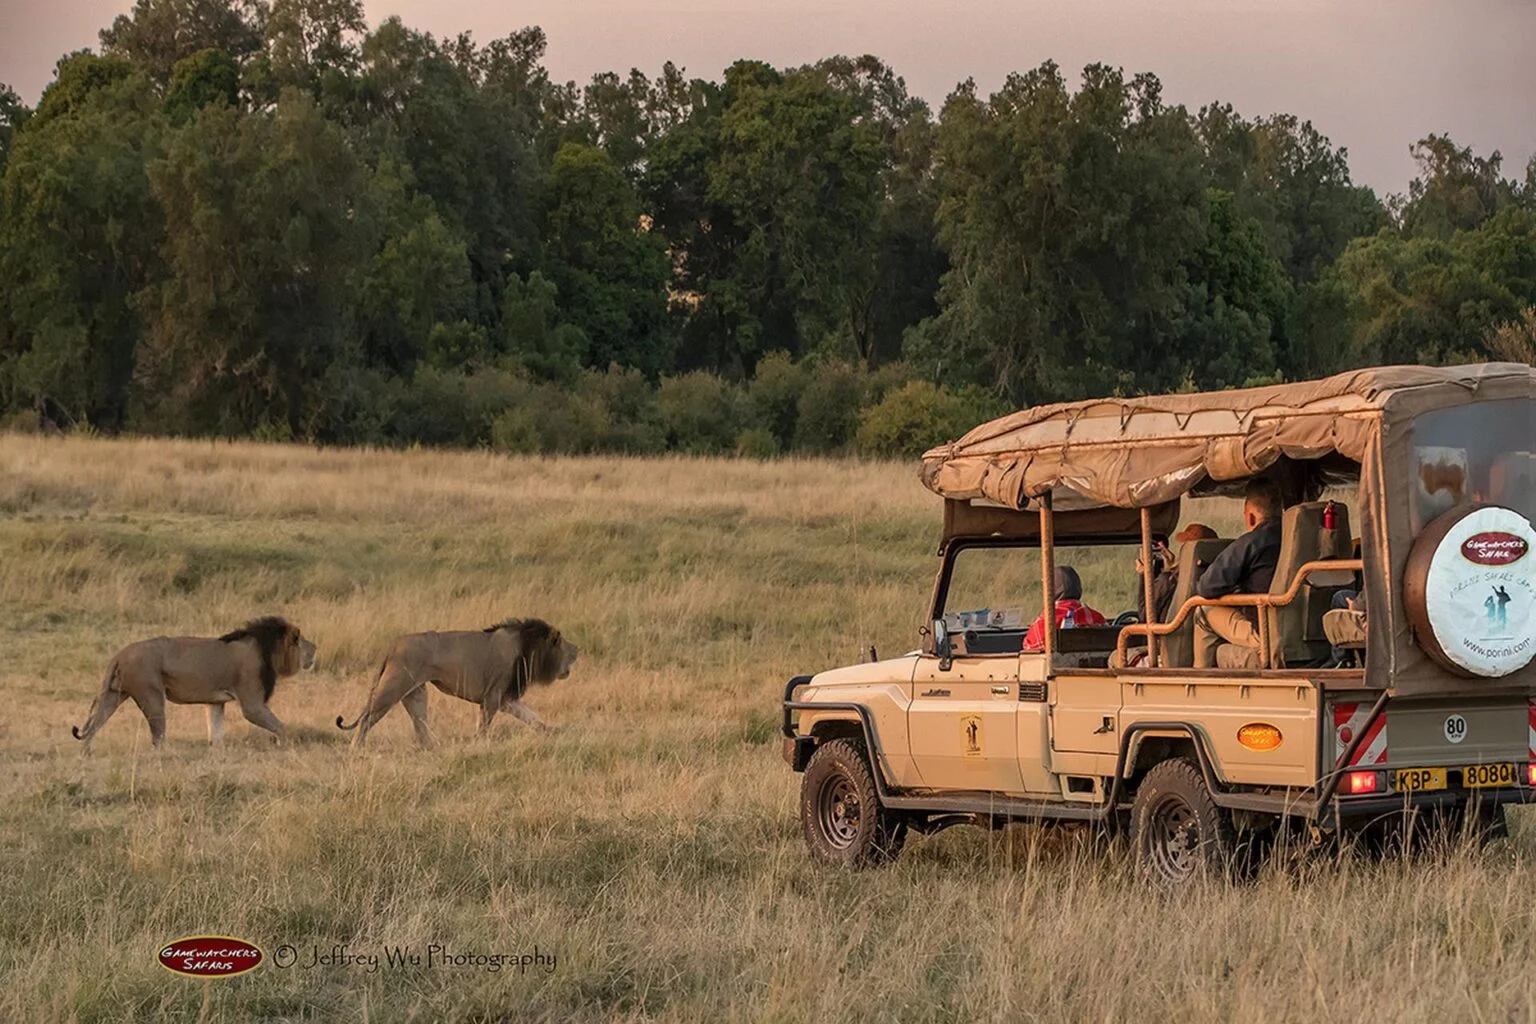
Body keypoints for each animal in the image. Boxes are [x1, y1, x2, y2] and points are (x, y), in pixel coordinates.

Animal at [70, 617, 318, 752]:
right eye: (301, 641)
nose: (315, 648)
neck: (266, 649)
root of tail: (119, 654)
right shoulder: (252, 703)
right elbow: (280, 726)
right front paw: (283, 746)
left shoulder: (216, 702)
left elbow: (215, 731)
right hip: (151, 694)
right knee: (157, 735)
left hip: (114, 694)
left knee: (94, 724)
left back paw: (86, 753)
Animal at [335, 618, 577, 748]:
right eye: (567, 649)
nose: (578, 650)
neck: (529, 648)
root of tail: (393, 644)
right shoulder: (493, 695)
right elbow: (484, 724)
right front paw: (480, 744)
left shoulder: (505, 697)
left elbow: (532, 716)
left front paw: (550, 732)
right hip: (393, 687)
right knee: (367, 718)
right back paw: (356, 747)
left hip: (416, 692)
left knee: (419, 722)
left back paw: (430, 747)